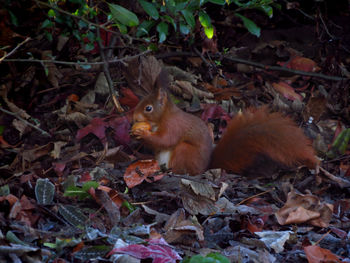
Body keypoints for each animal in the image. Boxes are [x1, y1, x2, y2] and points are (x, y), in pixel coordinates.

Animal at [130, 72, 318, 177]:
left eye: (148, 108)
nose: (133, 116)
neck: (162, 118)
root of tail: (206, 168)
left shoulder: (174, 126)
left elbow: (166, 140)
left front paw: (143, 134)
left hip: (185, 152)